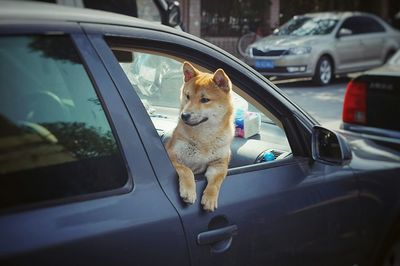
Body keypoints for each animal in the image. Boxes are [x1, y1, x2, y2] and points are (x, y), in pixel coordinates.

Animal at [166, 61, 234, 211]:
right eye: (187, 96)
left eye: (205, 100)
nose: (184, 115)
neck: (204, 138)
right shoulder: (171, 155)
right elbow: (187, 170)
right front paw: (189, 191)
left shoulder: (219, 164)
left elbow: (216, 182)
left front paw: (210, 198)